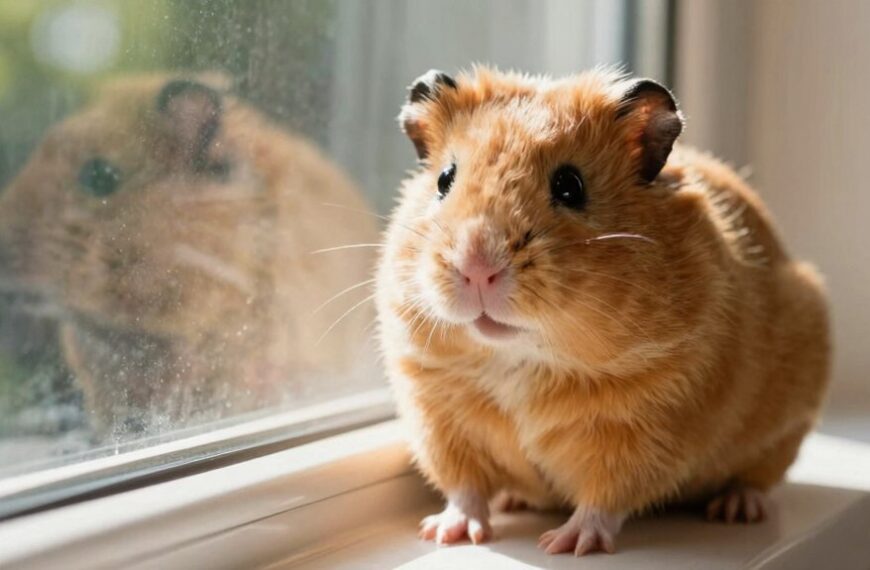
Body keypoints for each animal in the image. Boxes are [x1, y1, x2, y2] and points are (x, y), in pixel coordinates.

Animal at [375, 67, 830, 556]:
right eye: (445, 179)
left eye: (570, 186)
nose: (477, 268)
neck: (522, 356)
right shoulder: (439, 419)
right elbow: (465, 487)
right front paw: (446, 534)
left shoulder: (648, 427)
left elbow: (606, 496)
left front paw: (565, 545)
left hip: (784, 428)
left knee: (758, 478)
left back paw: (737, 508)